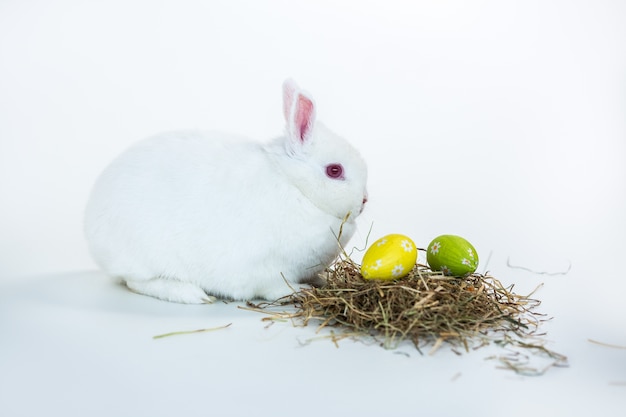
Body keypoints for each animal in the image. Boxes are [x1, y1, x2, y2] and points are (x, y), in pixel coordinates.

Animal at [83, 79, 366, 302]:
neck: (295, 186)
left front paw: (322, 281)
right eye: (334, 170)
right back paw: (192, 295)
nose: (364, 200)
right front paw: (300, 291)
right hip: (143, 259)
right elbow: (274, 287)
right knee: (137, 282)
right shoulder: (266, 270)